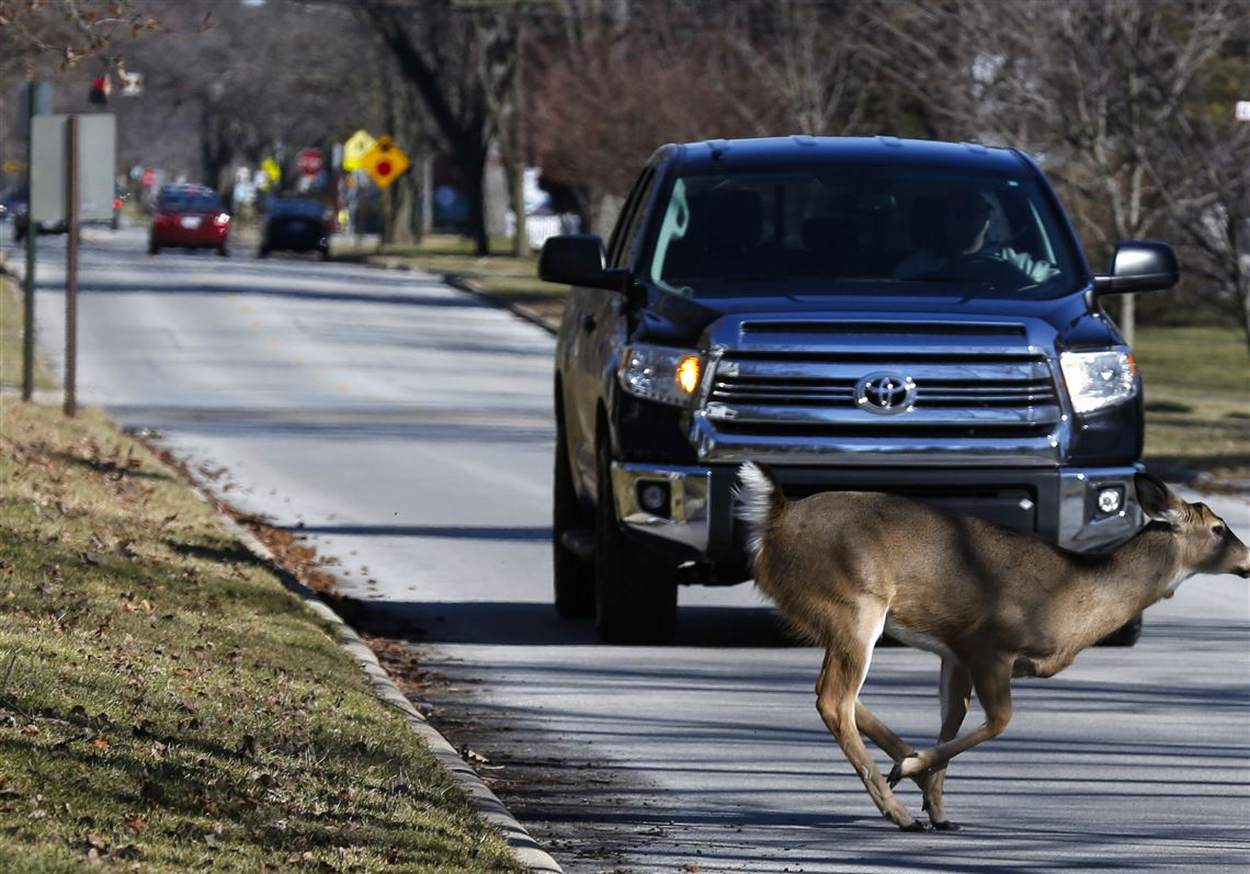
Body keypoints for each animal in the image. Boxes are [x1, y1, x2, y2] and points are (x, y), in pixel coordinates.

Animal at [730, 462, 1250, 830]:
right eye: (1219, 528)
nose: (1248, 559)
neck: (1078, 596)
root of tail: (776, 521)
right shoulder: (988, 645)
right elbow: (1000, 721)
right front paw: (920, 780)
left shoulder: (954, 653)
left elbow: (952, 720)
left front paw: (938, 807)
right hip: (854, 605)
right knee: (834, 700)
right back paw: (899, 810)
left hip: (837, 618)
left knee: (840, 696)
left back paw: (904, 773)